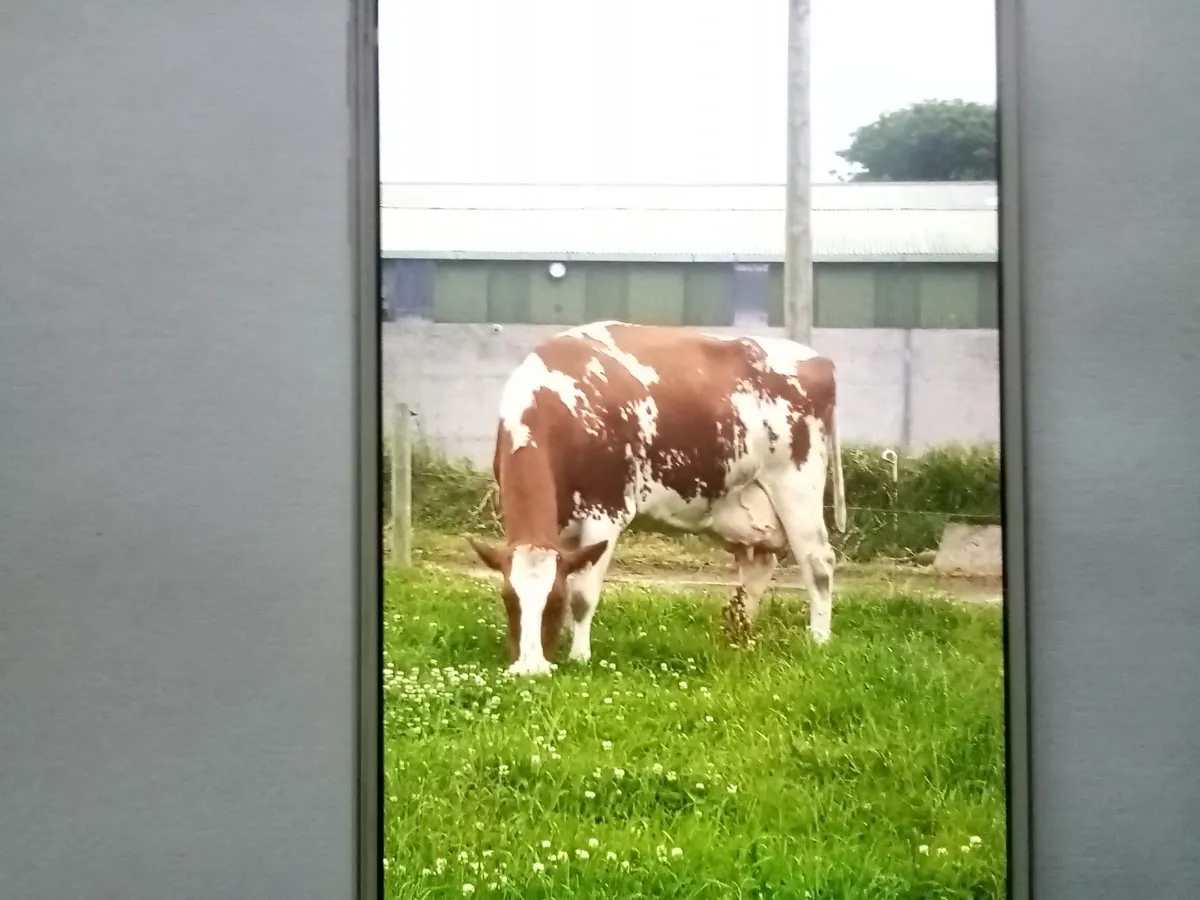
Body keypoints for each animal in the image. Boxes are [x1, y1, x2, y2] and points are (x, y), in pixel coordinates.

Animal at [468, 320, 848, 676]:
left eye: (555, 600)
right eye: (508, 599)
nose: (529, 669)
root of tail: (819, 359)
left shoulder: (606, 512)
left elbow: (583, 594)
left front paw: (579, 656)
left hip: (797, 487)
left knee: (818, 563)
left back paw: (818, 640)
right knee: (759, 564)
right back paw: (738, 636)